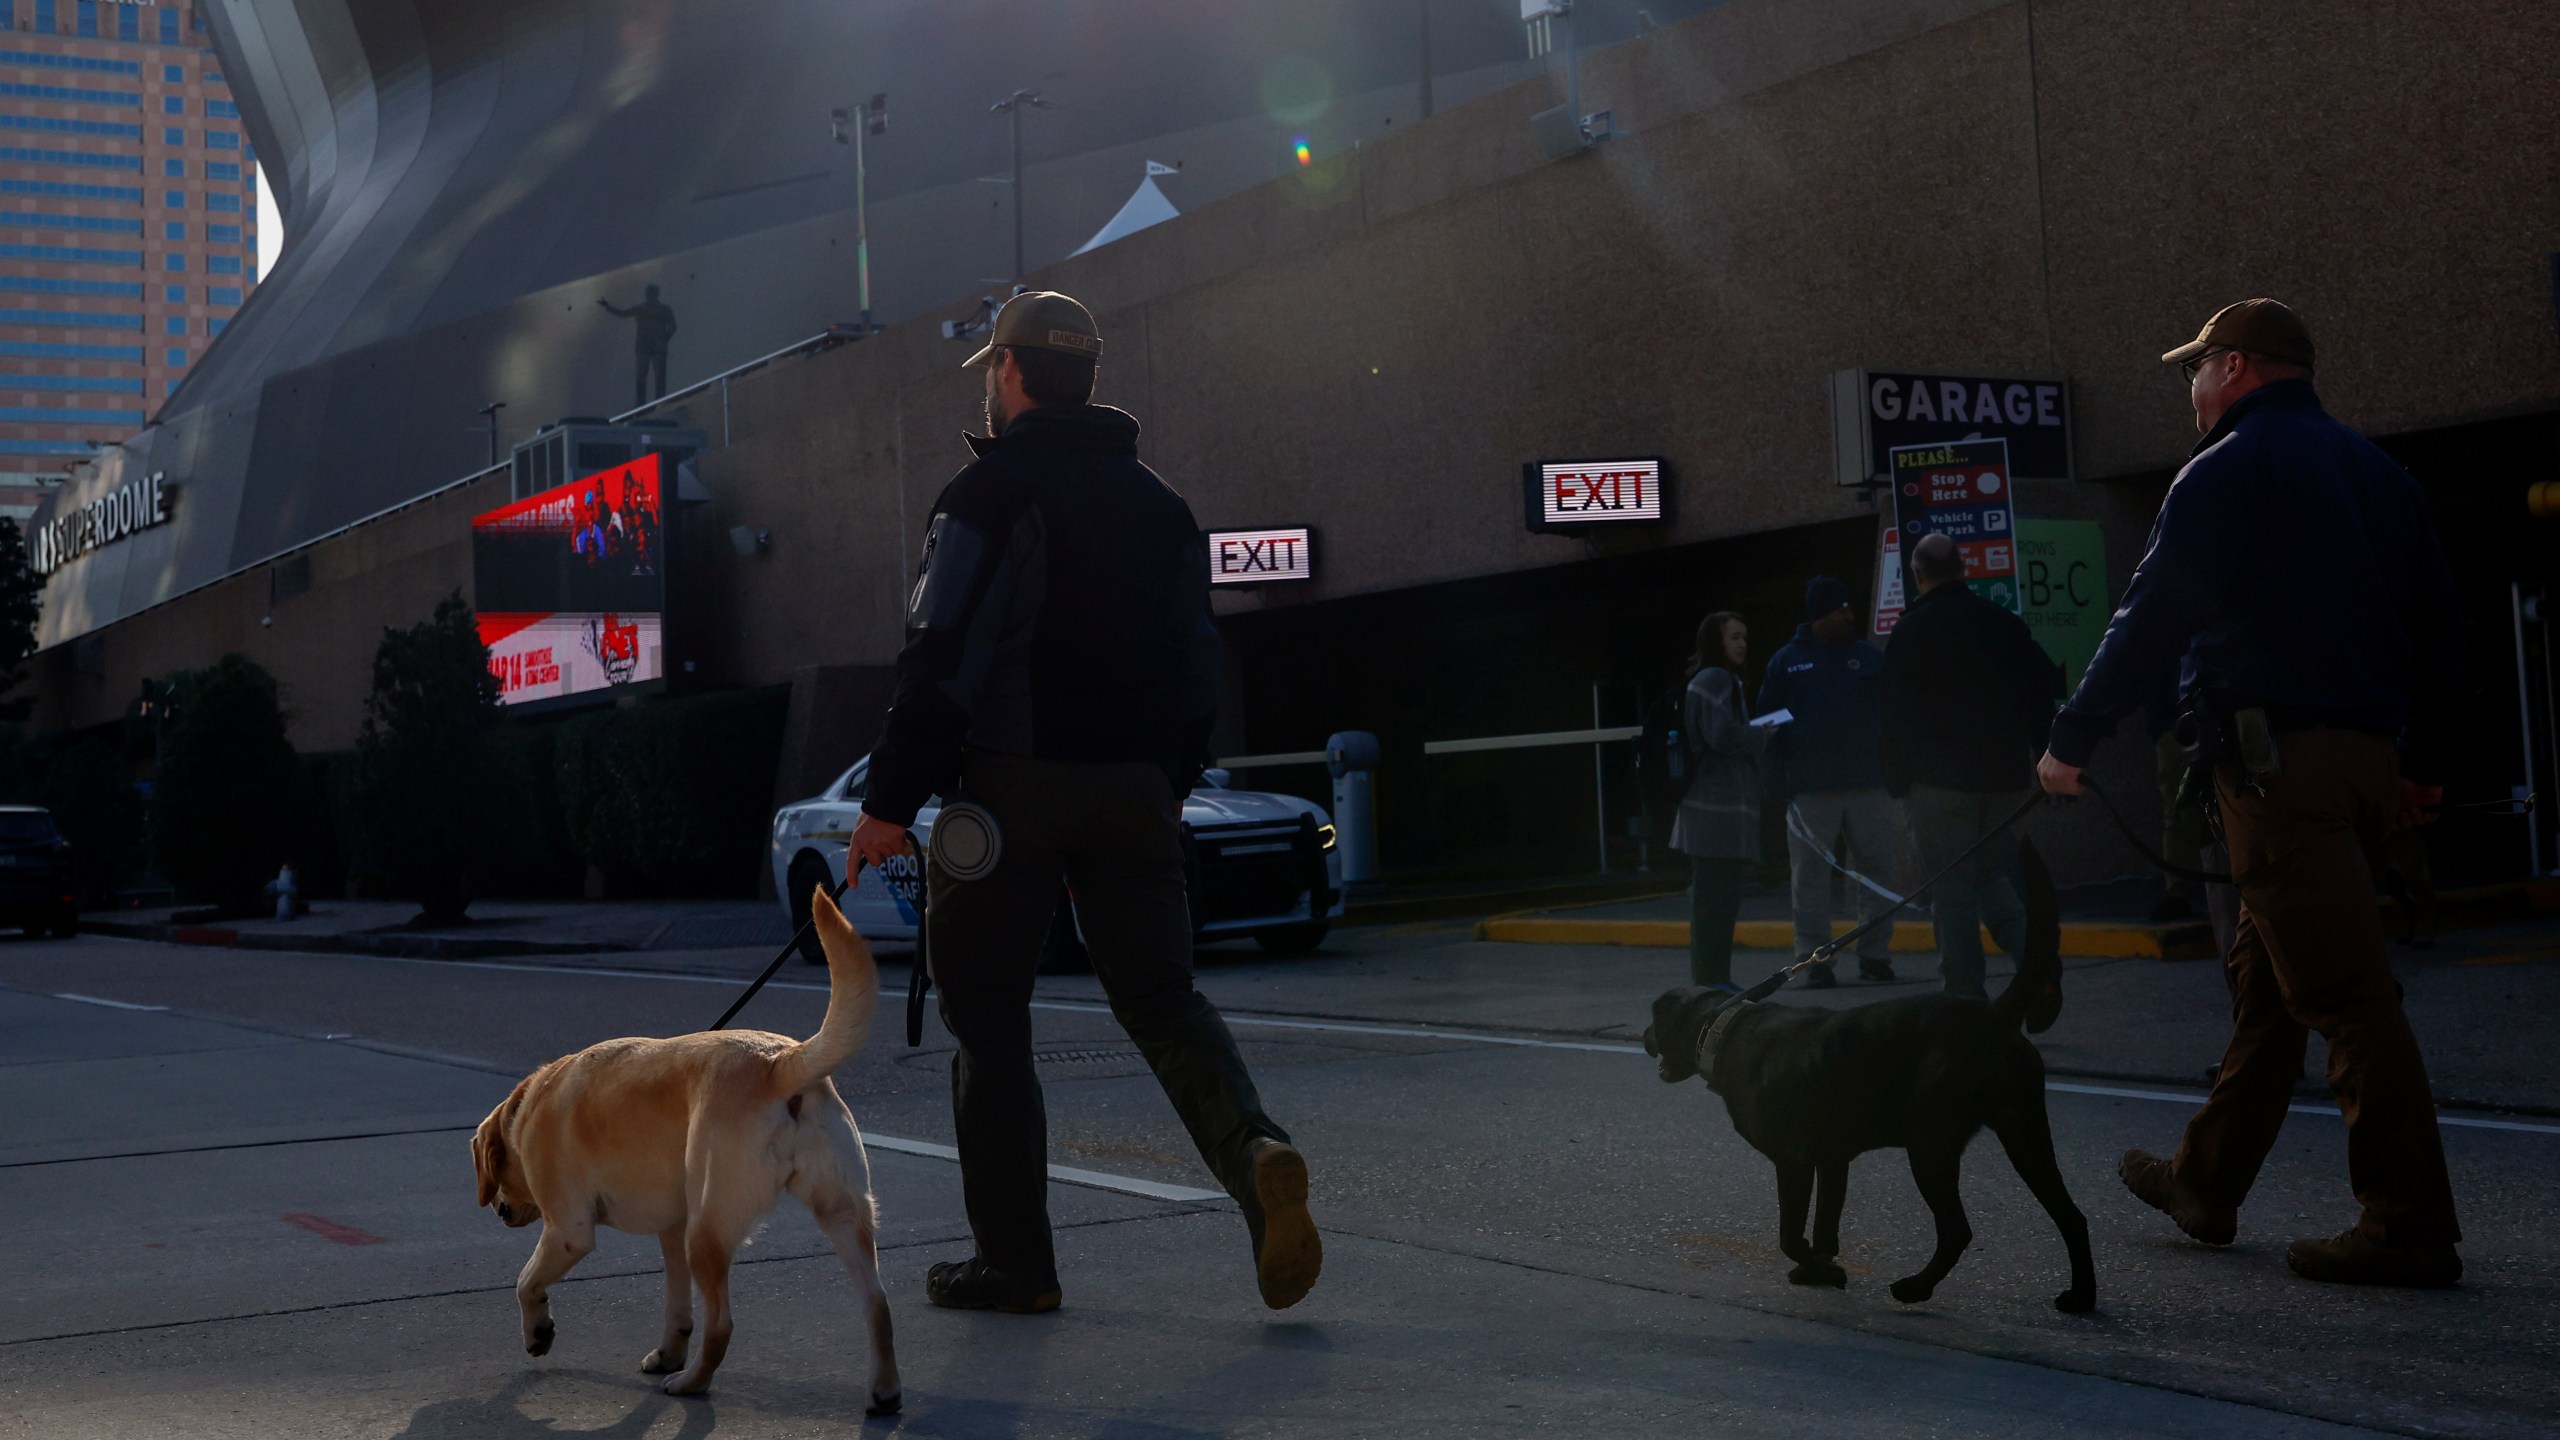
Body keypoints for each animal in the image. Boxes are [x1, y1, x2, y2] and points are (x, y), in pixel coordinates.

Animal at [476, 881, 906, 1404]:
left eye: (496, 1170)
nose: (499, 1211)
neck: (528, 1108)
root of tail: (780, 1062)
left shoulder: (568, 1231)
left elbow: (524, 1282)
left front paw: (538, 1331)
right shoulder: (671, 1229)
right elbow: (678, 1308)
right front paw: (668, 1352)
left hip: (708, 1228)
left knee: (721, 1324)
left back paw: (693, 1382)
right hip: (841, 1212)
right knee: (878, 1303)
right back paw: (884, 1390)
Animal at [1648, 830, 2088, 1311]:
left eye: (1655, 1018)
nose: (1643, 1036)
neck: (1722, 1030)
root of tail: (1994, 1015)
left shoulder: (1794, 1159)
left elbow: (1790, 1235)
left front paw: (1825, 1271)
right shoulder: (1832, 1159)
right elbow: (1824, 1226)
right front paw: (1818, 1271)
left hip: (1931, 1146)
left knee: (1957, 1230)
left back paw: (1916, 1287)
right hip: (2025, 1132)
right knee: (2071, 1215)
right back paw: (2081, 1298)